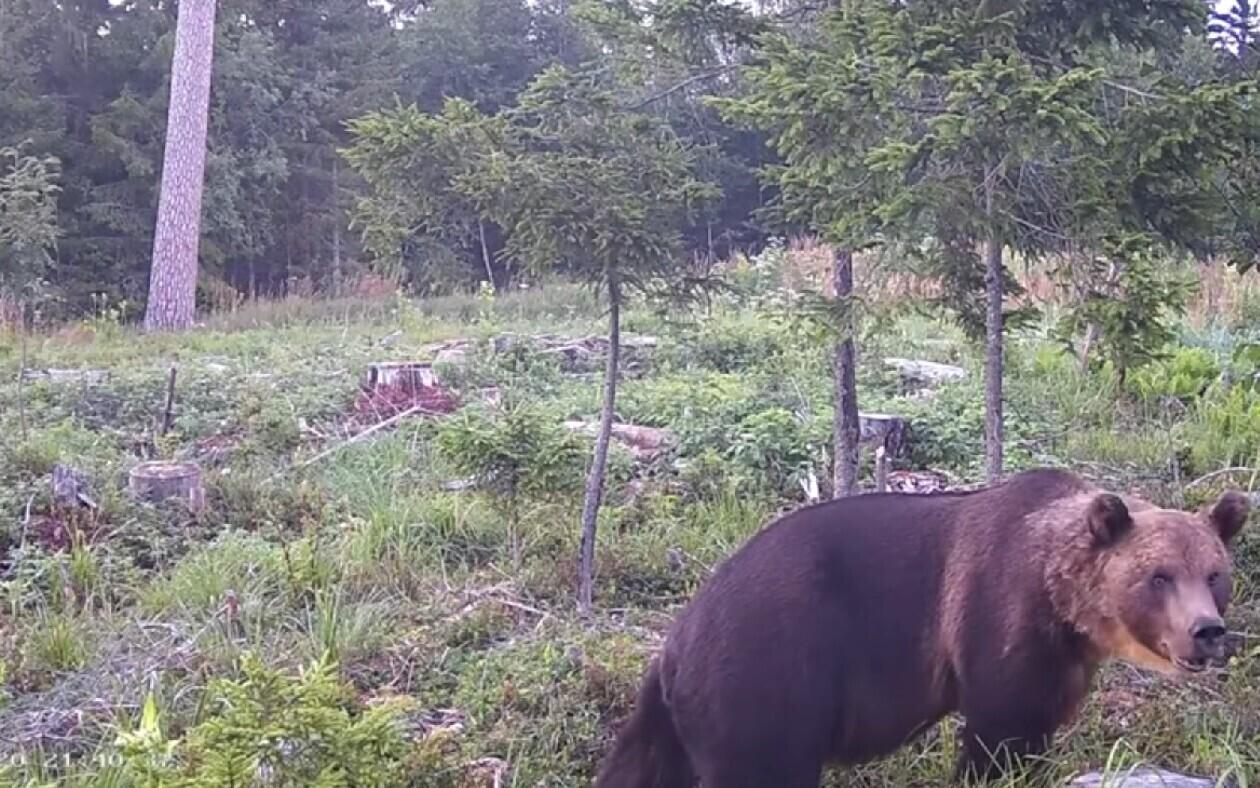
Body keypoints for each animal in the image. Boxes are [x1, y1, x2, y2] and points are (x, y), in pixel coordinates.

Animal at [594, 468, 1250, 788]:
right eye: (1159, 576)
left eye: (1214, 573)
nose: (1207, 632)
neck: (1061, 600)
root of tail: (680, 636)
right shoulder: (997, 611)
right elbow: (1001, 732)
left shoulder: (1061, 659)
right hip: (767, 675)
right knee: (760, 771)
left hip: (680, 709)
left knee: (640, 768)